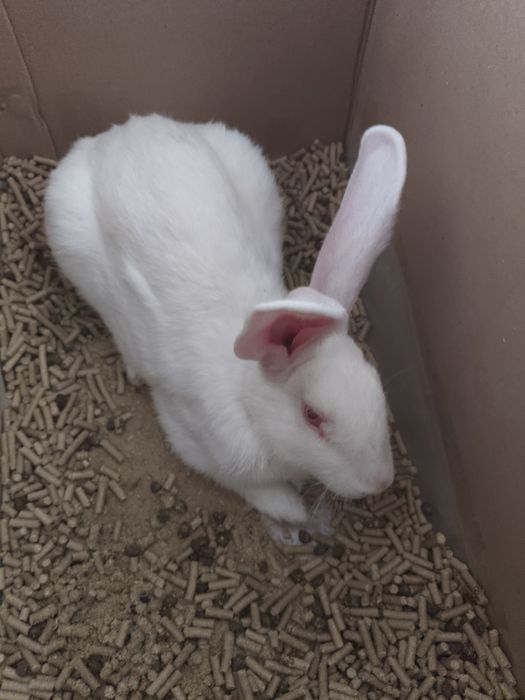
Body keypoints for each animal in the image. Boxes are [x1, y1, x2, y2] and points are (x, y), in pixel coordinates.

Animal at [45, 114, 407, 525]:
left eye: (376, 386)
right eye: (312, 416)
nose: (379, 482)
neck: (247, 399)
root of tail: (123, 131)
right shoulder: (200, 447)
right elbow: (257, 491)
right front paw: (295, 512)